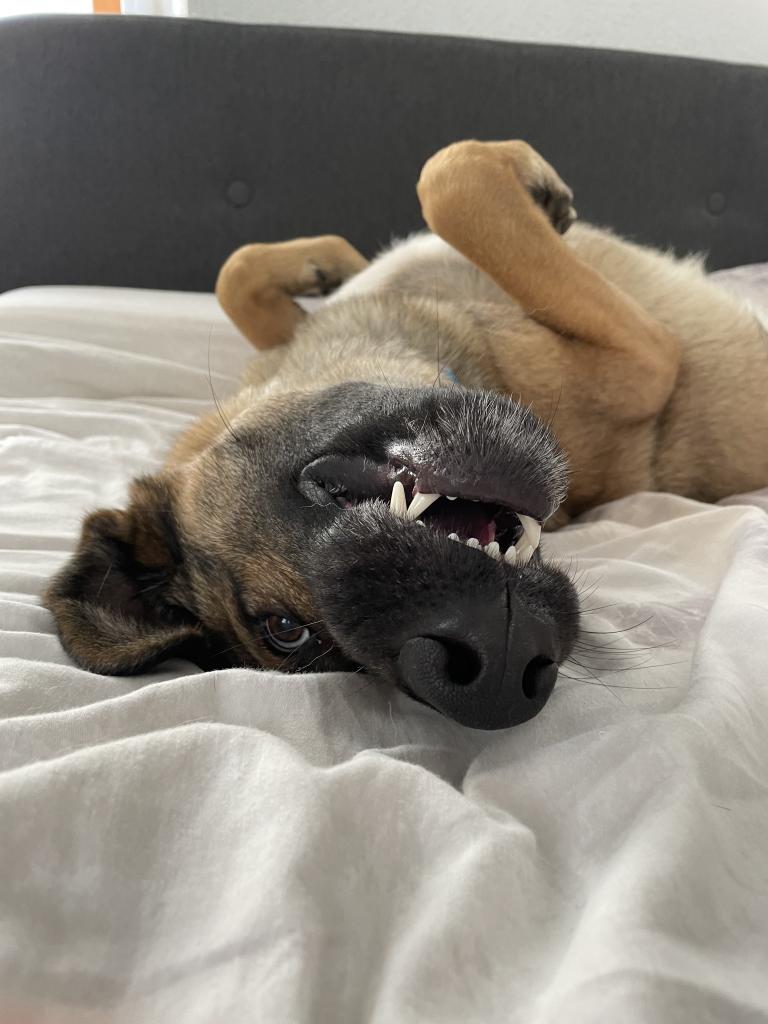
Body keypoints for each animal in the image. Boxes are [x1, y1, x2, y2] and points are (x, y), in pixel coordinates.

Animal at [45, 140, 768, 729]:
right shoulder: (647, 356)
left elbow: (241, 272)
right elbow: (452, 184)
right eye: (288, 632)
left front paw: (330, 261)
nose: (494, 672)